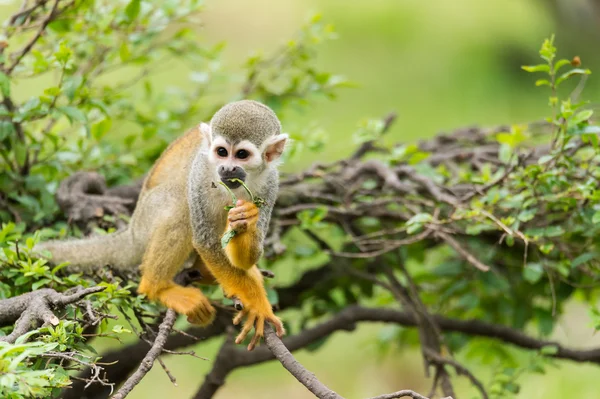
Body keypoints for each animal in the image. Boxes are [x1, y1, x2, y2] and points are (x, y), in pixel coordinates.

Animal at [38, 100, 288, 350]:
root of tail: (132, 231)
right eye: (222, 152)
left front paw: (246, 220)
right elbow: (206, 241)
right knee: (180, 205)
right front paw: (257, 305)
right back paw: (156, 287)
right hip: (148, 217)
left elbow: (249, 255)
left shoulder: (271, 183)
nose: (227, 169)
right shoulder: (200, 173)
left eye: (242, 155)